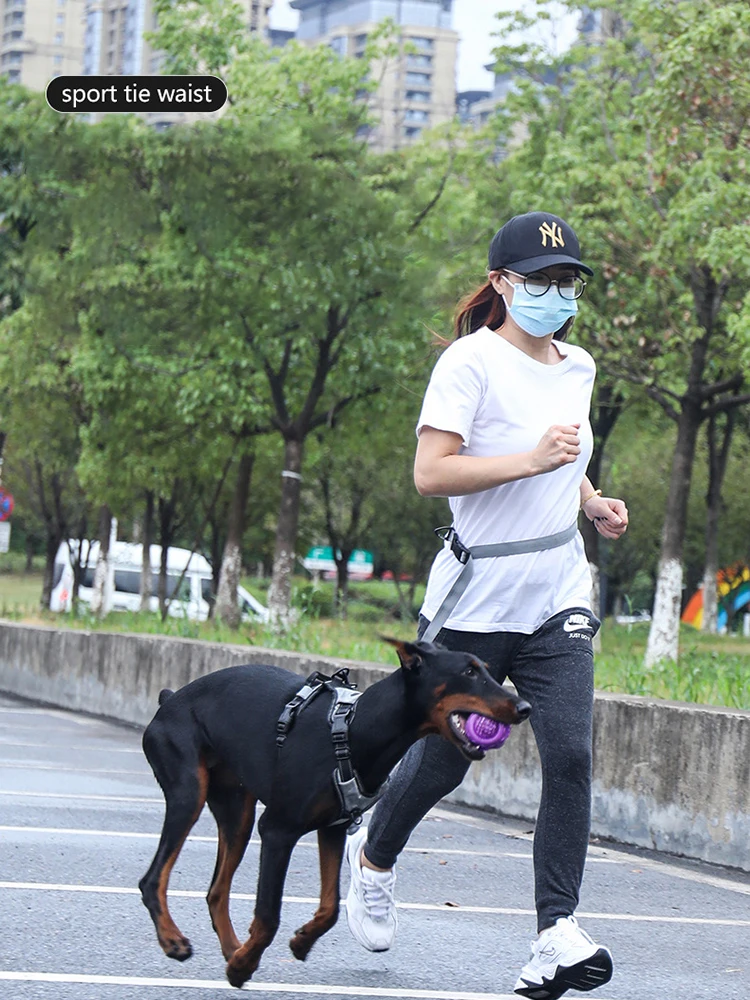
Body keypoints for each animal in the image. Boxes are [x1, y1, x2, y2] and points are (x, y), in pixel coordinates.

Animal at [139, 638, 531, 987]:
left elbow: (330, 907)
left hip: (238, 813)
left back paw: (234, 949)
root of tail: (170, 698)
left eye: (488, 671)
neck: (356, 729)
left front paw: (298, 942)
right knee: (152, 879)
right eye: (468, 672)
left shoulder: (333, 827)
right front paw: (243, 968)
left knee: (216, 891)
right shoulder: (277, 830)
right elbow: (269, 914)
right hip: (190, 793)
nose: (525, 707)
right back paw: (177, 942)